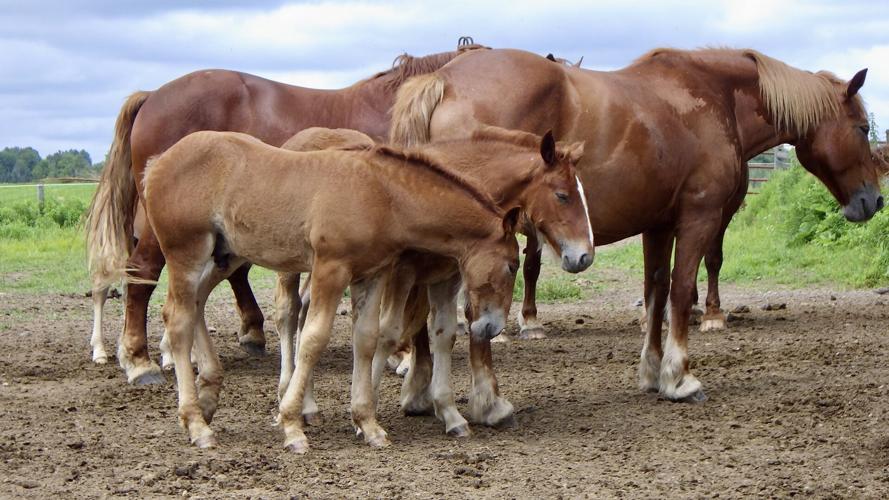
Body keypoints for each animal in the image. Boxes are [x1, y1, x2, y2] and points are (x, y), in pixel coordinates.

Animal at [140, 130, 524, 452]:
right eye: (512, 265)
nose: (492, 327)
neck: (382, 193)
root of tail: (157, 162)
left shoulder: (373, 274)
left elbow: (367, 338)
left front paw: (368, 424)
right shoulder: (330, 269)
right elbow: (313, 339)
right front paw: (292, 425)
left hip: (223, 256)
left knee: (194, 305)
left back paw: (207, 397)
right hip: (186, 254)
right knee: (178, 321)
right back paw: (196, 424)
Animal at [283, 126, 591, 435]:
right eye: (562, 195)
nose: (584, 256)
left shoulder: (448, 275)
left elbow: (445, 330)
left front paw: (463, 403)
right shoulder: (404, 273)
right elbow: (394, 330)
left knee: (305, 311)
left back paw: (307, 405)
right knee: (289, 313)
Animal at [389, 47, 883, 404]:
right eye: (862, 128)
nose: (874, 200)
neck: (712, 98)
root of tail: (443, 81)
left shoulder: (658, 225)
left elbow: (656, 292)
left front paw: (651, 372)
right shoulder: (699, 217)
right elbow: (682, 290)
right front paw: (679, 376)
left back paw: (419, 389)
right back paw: (483, 401)